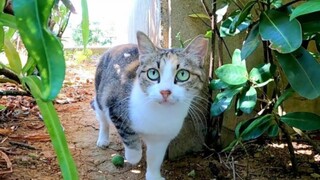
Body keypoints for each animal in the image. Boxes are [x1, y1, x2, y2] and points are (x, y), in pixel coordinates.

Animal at [92, 31, 208, 179]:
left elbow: (155, 158)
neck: (160, 114)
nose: (165, 91)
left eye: (183, 74)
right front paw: (132, 155)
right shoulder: (117, 108)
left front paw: (153, 175)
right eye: (153, 73)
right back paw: (103, 139)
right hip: (100, 93)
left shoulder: (162, 137)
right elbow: (130, 140)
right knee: (102, 117)